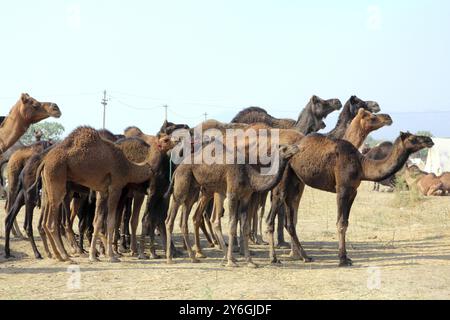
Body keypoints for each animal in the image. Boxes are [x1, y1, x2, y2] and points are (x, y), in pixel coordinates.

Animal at [38, 126, 176, 262]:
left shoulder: (102, 191)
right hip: (57, 178)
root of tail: (44, 162)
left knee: (47, 221)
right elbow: (111, 221)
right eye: (166, 139)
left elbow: (98, 221)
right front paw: (111, 256)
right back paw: (65, 256)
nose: (177, 140)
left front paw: (93, 255)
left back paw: (58, 255)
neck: (129, 167)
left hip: (48, 187)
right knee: (52, 223)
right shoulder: (116, 187)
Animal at [268, 131, 434, 266]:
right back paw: (274, 259)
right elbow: (340, 223)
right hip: (284, 175)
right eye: (413, 138)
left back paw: (305, 257)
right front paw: (342, 259)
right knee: (275, 207)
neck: (362, 165)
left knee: (290, 219)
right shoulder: (342, 189)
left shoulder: (353, 191)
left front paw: (346, 257)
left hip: (296, 180)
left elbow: (346, 222)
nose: (429, 140)